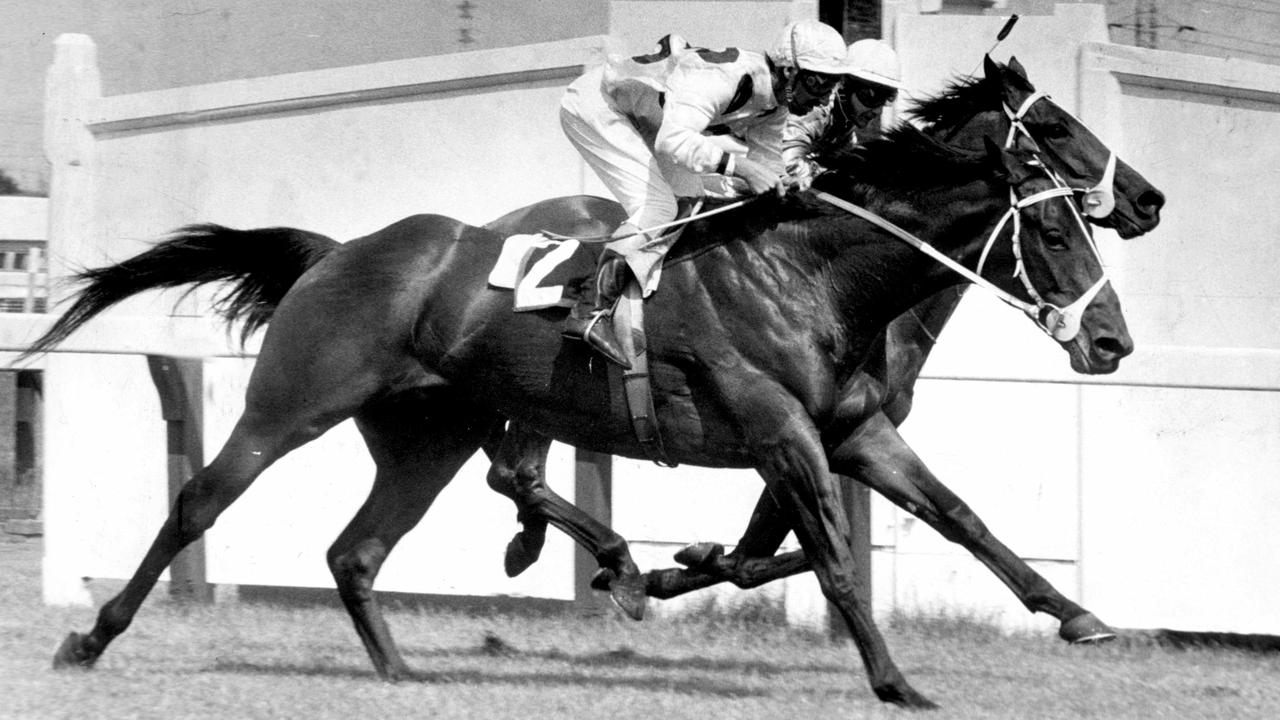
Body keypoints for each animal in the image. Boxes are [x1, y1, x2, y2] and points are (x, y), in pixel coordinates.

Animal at [32, 120, 1131, 702]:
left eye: (1084, 229)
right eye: (1056, 236)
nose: (1113, 342)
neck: (808, 273)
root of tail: (340, 251)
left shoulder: (854, 433)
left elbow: (960, 519)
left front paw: (1080, 617)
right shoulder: (782, 436)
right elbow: (832, 560)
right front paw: (896, 682)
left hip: (426, 439)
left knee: (361, 549)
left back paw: (407, 669)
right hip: (292, 403)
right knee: (198, 505)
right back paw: (89, 638)